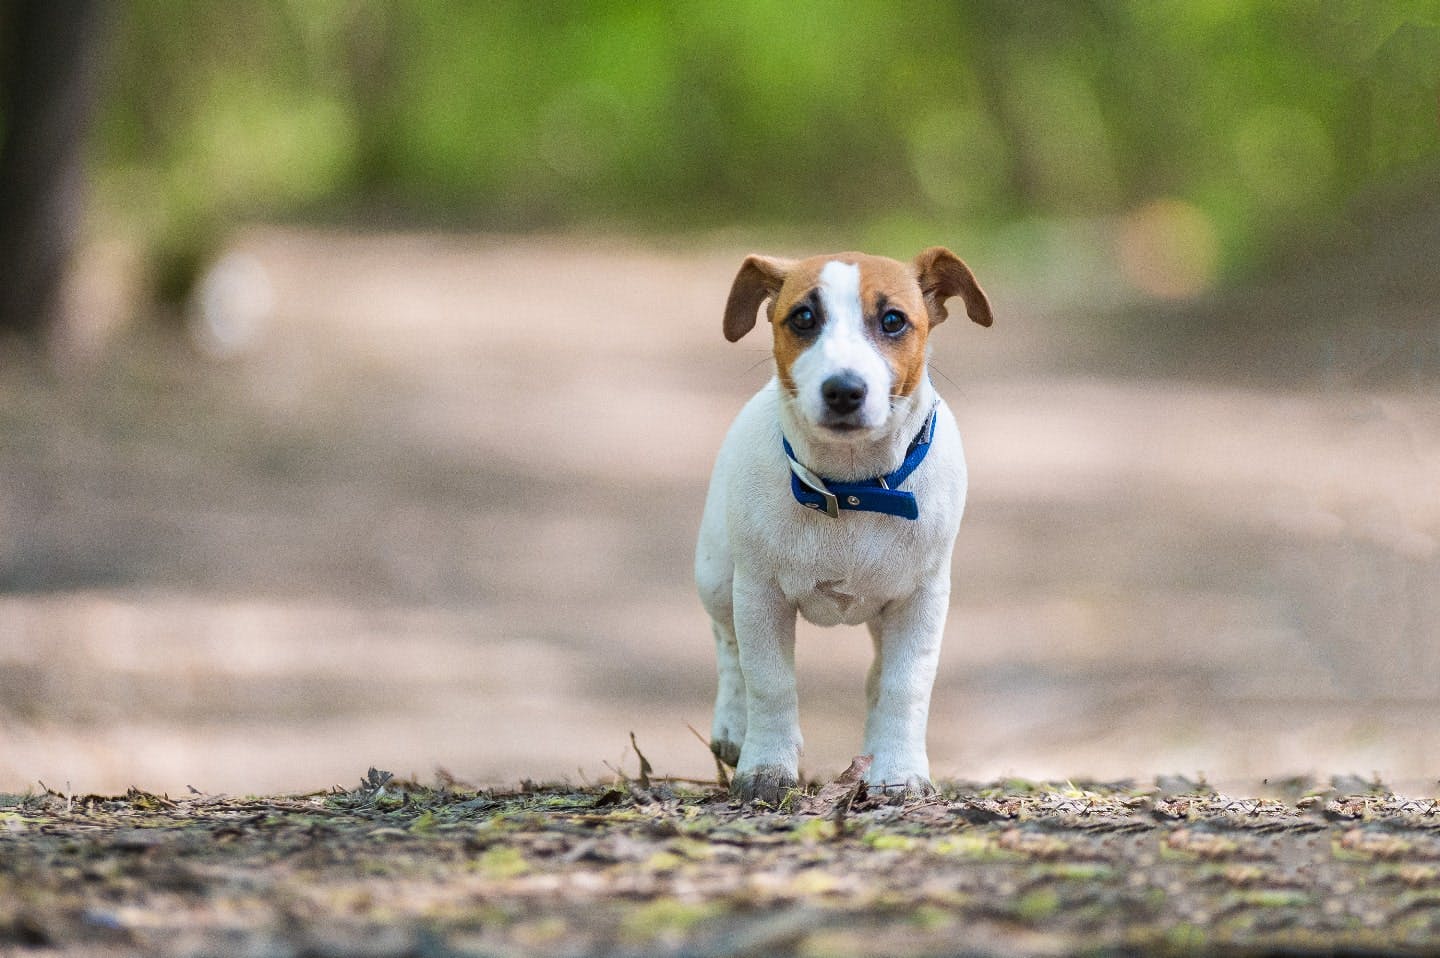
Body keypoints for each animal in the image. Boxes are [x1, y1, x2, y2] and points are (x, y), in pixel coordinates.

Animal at [694, 246, 990, 800]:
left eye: (893, 320)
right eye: (803, 318)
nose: (844, 390)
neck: (853, 489)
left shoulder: (922, 600)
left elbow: (904, 685)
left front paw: (899, 771)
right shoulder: (760, 594)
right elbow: (767, 681)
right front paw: (765, 767)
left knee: (877, 677)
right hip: (718, 575)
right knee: (727, 643)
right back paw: (733, 728)